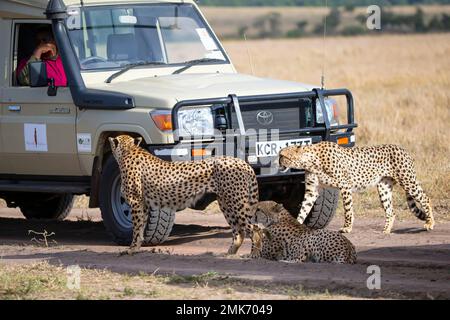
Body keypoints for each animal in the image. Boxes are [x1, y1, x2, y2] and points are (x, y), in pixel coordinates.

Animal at [107, 134, 258, 255]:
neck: (128, 150)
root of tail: (241, 161)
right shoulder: (143, 204)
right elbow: (140, 228)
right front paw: (136, 247)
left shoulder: (135, 202)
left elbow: (136, 228)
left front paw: (131, 249)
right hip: (226, 203)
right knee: (239, 231)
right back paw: (230, 253)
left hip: (237, 202)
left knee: (255, 228)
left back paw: (253, 255)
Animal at [280, 141, 434, 234]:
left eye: (282, 155)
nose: (278, 160)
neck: (310, 160)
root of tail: (402, 148)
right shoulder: (312, 191)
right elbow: (303, 210)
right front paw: (296, 224)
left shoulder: (344, 185)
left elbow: (348, 210)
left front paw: (347, 227)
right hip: (383, 187)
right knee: (391, 211)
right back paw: (386, 230)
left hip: (407, 181)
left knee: (425, 198)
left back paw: (430, 223)